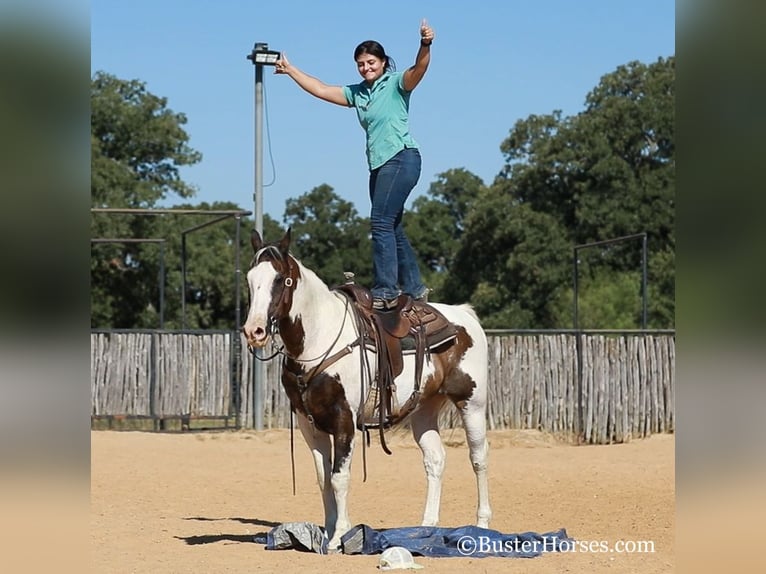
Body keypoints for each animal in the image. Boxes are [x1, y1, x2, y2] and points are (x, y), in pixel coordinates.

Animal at [242, 228, 492, 548]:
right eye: (250, 280)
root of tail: (464, 315)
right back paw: (425, 527)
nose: (255, 331)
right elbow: (323, 478)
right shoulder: (308, 423)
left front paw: (339, 536)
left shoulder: (344, 419)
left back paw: (482, 524)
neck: (320, 337)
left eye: (280, 279)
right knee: (435, 460)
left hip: (472, 403)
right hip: (424, 409)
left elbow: (340, 477)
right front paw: (327, 533)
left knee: (478, 458)